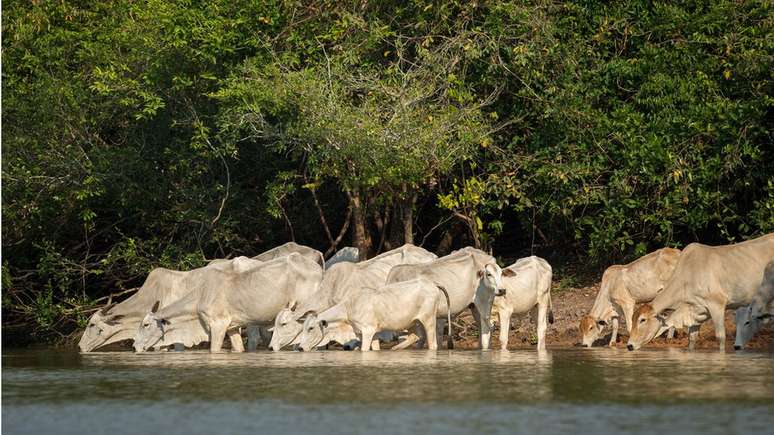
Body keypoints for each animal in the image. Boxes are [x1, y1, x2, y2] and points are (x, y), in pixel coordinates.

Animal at [135, 255, 322, 354]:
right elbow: (238, 348)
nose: (135, 346)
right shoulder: (232, 327)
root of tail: (318, 268)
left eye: (145, 324)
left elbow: (214, 350)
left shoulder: (218, 324)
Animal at [298, 280, 454, 354]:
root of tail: (432, 283)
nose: (300, 348)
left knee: (433, 344)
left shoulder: (367, 331)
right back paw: (395, 349)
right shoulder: (367, 333)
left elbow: (364, 349)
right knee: (416, 337)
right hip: (414, 322)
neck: (349, 307)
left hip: (428, 319)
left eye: (311, 328)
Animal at [632, 233, 774, 352]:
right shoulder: (696, 310)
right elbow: (692, 339)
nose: (630, 345)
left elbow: (721, 337)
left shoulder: (717, 304)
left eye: (642, 320)